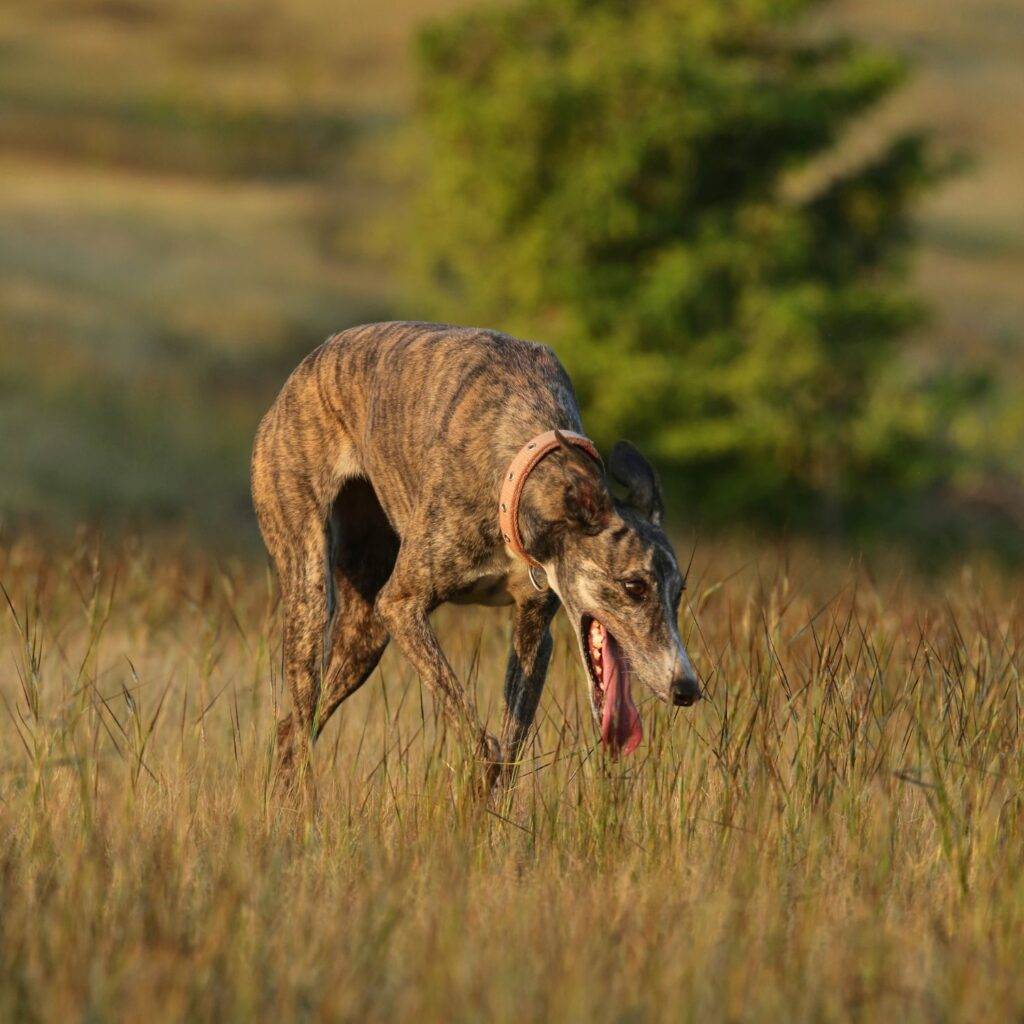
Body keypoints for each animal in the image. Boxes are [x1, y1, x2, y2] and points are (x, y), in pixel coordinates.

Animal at [250, 319, 700, 790]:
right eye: (634, 586)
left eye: (678, 594)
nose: (688, 689)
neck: (520, 471)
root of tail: (302, 372)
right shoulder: (401, 605)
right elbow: (478, 736)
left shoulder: (534, 629)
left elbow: (511, 747)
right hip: (311, 592)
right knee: (299, 727)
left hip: (365, 631)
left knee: (294, 726)